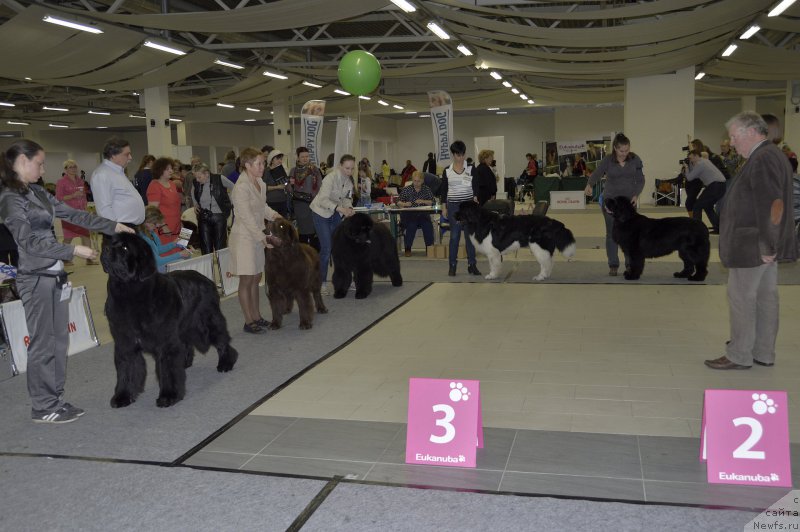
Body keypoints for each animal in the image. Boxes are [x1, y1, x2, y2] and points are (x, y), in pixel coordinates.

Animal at [101, 231, 238, 410]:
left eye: (124, 247)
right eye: (110, 242)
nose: (105, 249)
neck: (129, 292)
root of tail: (207, 279)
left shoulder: (164, 342)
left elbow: (166, 370)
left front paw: (169, 396)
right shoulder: (125, 342)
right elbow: (126, 369)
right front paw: (123, 396)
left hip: (208, 321)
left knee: (222, 340)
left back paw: (226, 363)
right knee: (186, 344)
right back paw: (185, 363)